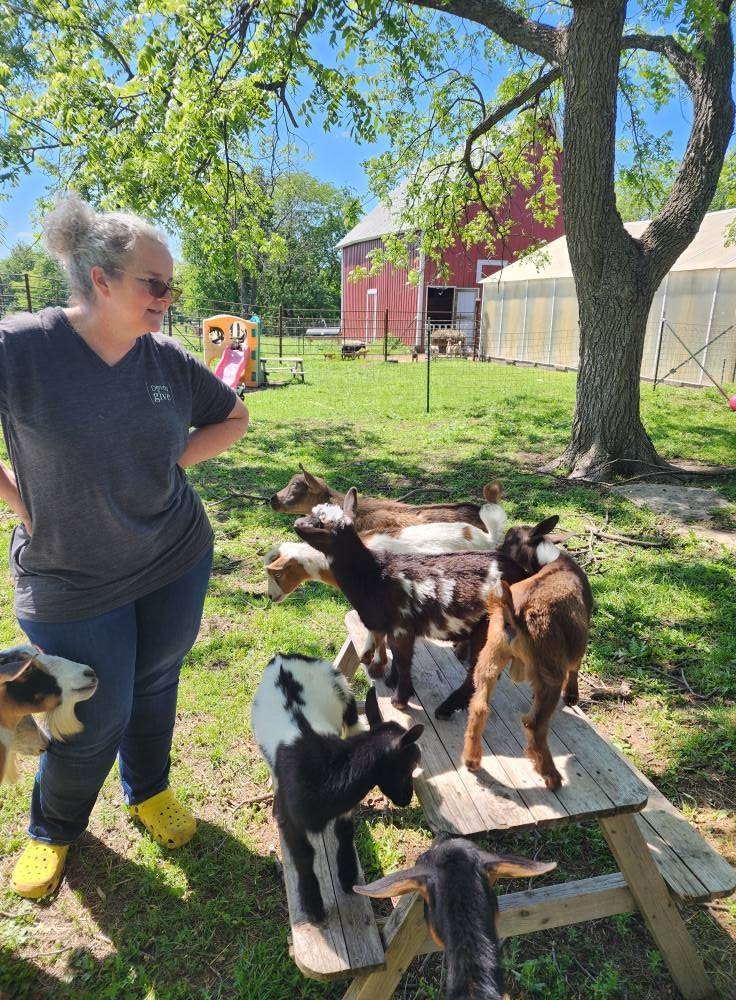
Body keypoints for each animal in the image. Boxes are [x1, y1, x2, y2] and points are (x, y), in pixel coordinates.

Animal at [251, 654, 423, 922]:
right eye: (409, 766)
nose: (406, 799)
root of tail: (283, 658)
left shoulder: (346, 807)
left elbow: (344, 833)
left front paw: (348, 877)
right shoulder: (291, 821)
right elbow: (304, 856)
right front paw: (313, 907)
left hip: (346, 699)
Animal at [292, 490, 530, 710]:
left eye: (320, 523)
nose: (297, 523)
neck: (375, 577)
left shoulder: (401, 628)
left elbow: (404, 661)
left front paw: (399, 700)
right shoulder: (395, 628)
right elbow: (396, 657)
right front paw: (391, 680)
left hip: (490, 629)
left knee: (480, 671)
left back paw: (447, 707)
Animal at [437, 515, 592, 790]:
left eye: (509, 539)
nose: (495, 552)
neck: (548, 559)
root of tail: (515, 615)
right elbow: (576, 665)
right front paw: (573, 696)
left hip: (490, 658)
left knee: (478, 706)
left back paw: (472, 760)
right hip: (550, 674)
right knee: (534, 724)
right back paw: (551, 776)